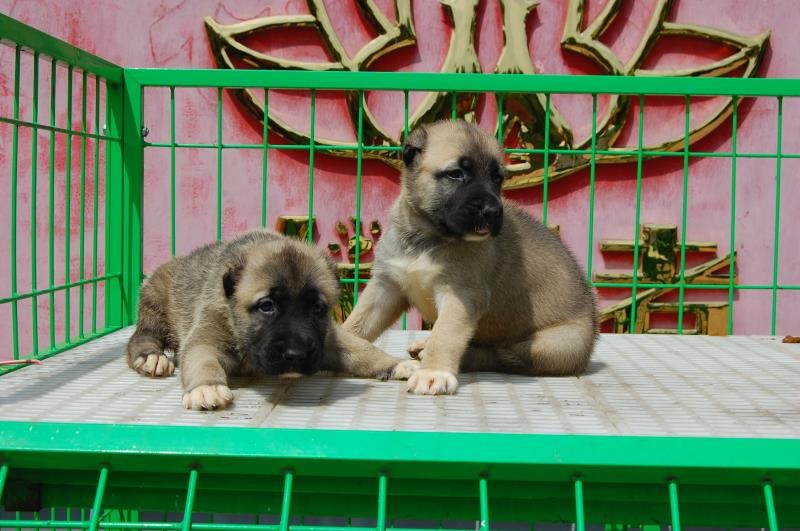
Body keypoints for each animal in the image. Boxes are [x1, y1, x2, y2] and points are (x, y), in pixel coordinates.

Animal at [125, 231, 418, 410]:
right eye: (266, 306)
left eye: (317, 308)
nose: (296, 354)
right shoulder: (206, 335)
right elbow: (202, 359)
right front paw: (206, 387)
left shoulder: (327, 338)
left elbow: (361, 348)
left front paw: (395, 364)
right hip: (155, 301)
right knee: (142, 336)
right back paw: (151, 357)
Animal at [340, 119, 596, 394]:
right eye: (456, 173)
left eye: (497, 179)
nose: (492, 211)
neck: (427, 235)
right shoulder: (387, 286)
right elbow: (359, 321)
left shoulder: (461, 294)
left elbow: (445, 335)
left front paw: (433, 372)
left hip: (552, 344)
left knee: (500, 356)